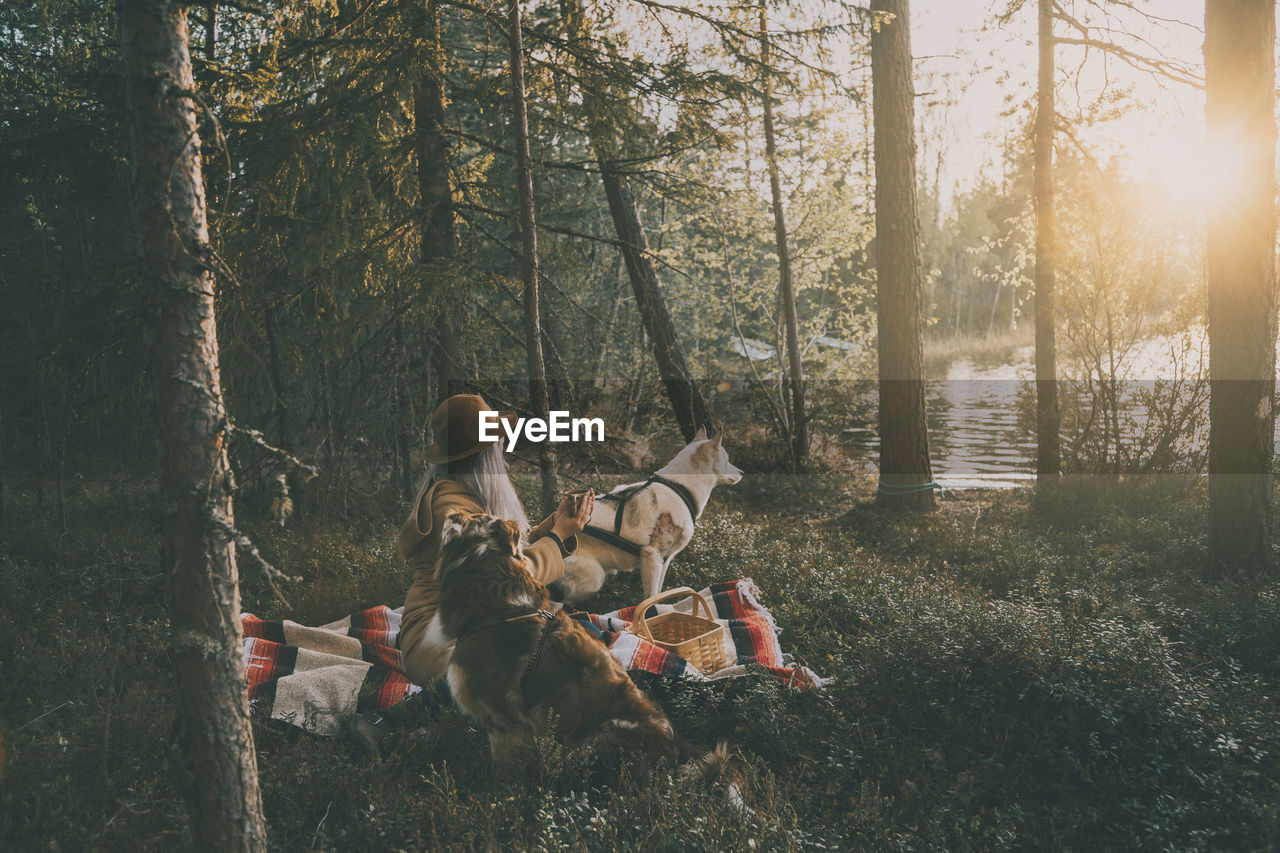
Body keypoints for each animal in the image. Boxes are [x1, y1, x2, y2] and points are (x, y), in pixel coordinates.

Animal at [558, 427, 742, 601]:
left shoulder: (665, 560)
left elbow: (659, 594)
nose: (742, 472)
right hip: (593, 579)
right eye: (727, 459)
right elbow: (651, 596)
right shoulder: (652, 556)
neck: (679, 487)